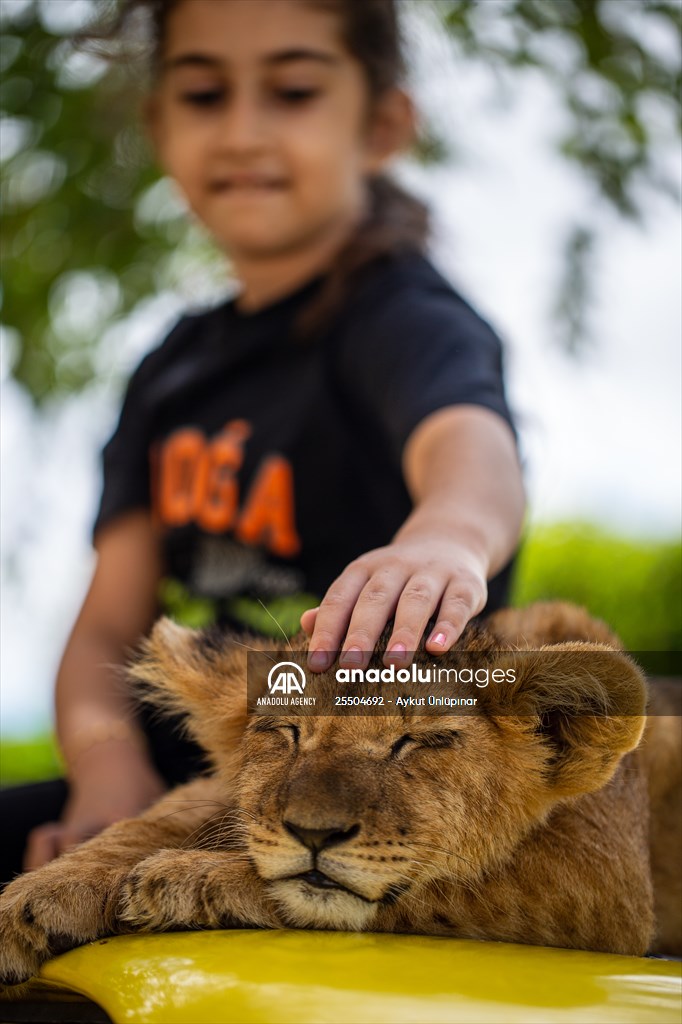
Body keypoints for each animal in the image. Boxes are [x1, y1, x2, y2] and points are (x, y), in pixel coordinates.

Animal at [1, 602, 680, 986]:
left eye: (420, 741)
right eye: (288, 730)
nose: (315, 834)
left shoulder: (603, 882)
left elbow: (437, 886)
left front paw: (186, 880)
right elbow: (155, 818)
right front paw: (32, 901)